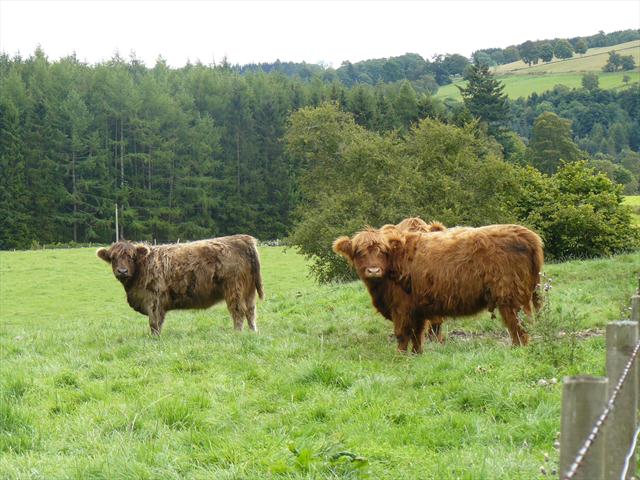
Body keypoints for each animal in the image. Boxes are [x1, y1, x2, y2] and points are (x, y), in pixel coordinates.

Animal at [95, 235, 264, 334]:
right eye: (113, 258)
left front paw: (155, 339)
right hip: (249, 290)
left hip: (234, 289)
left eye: (131, 257)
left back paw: (237, 333)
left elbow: (154, 323)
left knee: (238, 311)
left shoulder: (154, 300)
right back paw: (252, 332)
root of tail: (243, 238)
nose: (122, 271)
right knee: (250, 311)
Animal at [332, 223, 544, 350]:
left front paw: (400, 356)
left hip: (510, 298)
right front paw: (416, 355)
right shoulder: (416, 309)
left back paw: (517, 349)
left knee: (517, 328)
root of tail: (526, 233)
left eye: (383, 251)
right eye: (359, 252)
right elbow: (417, 335)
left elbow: (402, 334)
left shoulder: (401, 308)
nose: (373, 270)